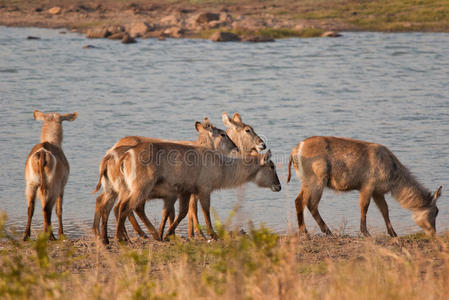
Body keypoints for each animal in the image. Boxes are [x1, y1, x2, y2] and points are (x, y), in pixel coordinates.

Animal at [23, 109, 77, 240]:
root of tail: (43, 152)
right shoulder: (62, 187)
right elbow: (59, 209)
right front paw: (61, 233)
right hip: (52, 185)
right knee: (48, 208)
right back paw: (51, 236)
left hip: (32, 184)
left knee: (31, 207)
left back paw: (26, 235)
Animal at [114, 142, 278, 243]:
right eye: (272, 166)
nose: (279, 186)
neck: (222, 167)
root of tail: (126, 155)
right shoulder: (204, 189)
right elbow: (205, 211)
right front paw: (213, 234)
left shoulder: (185, 192)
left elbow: (182, 212)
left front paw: (165, 234)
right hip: (141, 188)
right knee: (127, 207)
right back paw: (119, 238)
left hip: (131, 190)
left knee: (124, 207)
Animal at [288, 136, 440, 237]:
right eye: (436, 211)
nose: (434, 233)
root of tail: (295, 149)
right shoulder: (368, 186)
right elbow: (364, 208)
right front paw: (366, 233)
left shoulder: (378, 192)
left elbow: (385, 210)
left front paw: (393, 233)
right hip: (317, 181)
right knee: (310, 204)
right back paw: (320, 231)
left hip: (306, 182)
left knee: (298, 200)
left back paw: (308, 231)